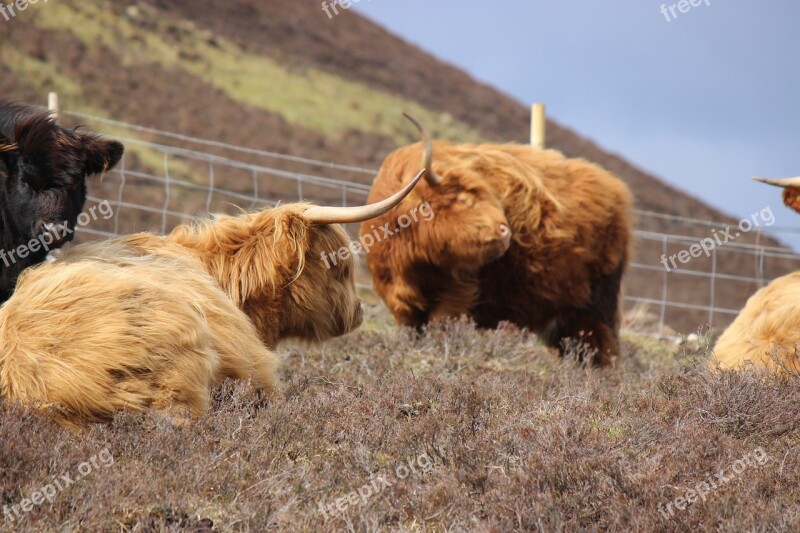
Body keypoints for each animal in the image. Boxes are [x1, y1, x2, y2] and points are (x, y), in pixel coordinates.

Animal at [360, 115, 632, 366]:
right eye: (462, 199)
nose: (505, 230)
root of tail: (616, 190)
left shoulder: (457, 292)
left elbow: (440, 328)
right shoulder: (398, 299)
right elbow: (410, 332)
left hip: (595, 304)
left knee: (597, 343)